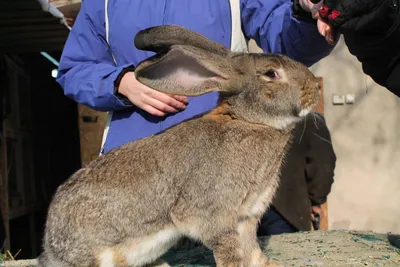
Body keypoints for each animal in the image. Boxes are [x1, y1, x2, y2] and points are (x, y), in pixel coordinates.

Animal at [38, 25, 322, 267]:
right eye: (271, 73)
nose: (317, 86)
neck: (248, 121)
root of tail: (50, 248)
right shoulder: (215, 216)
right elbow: (229, 249)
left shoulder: (247, 218)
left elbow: (252, 249)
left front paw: (268, 264)